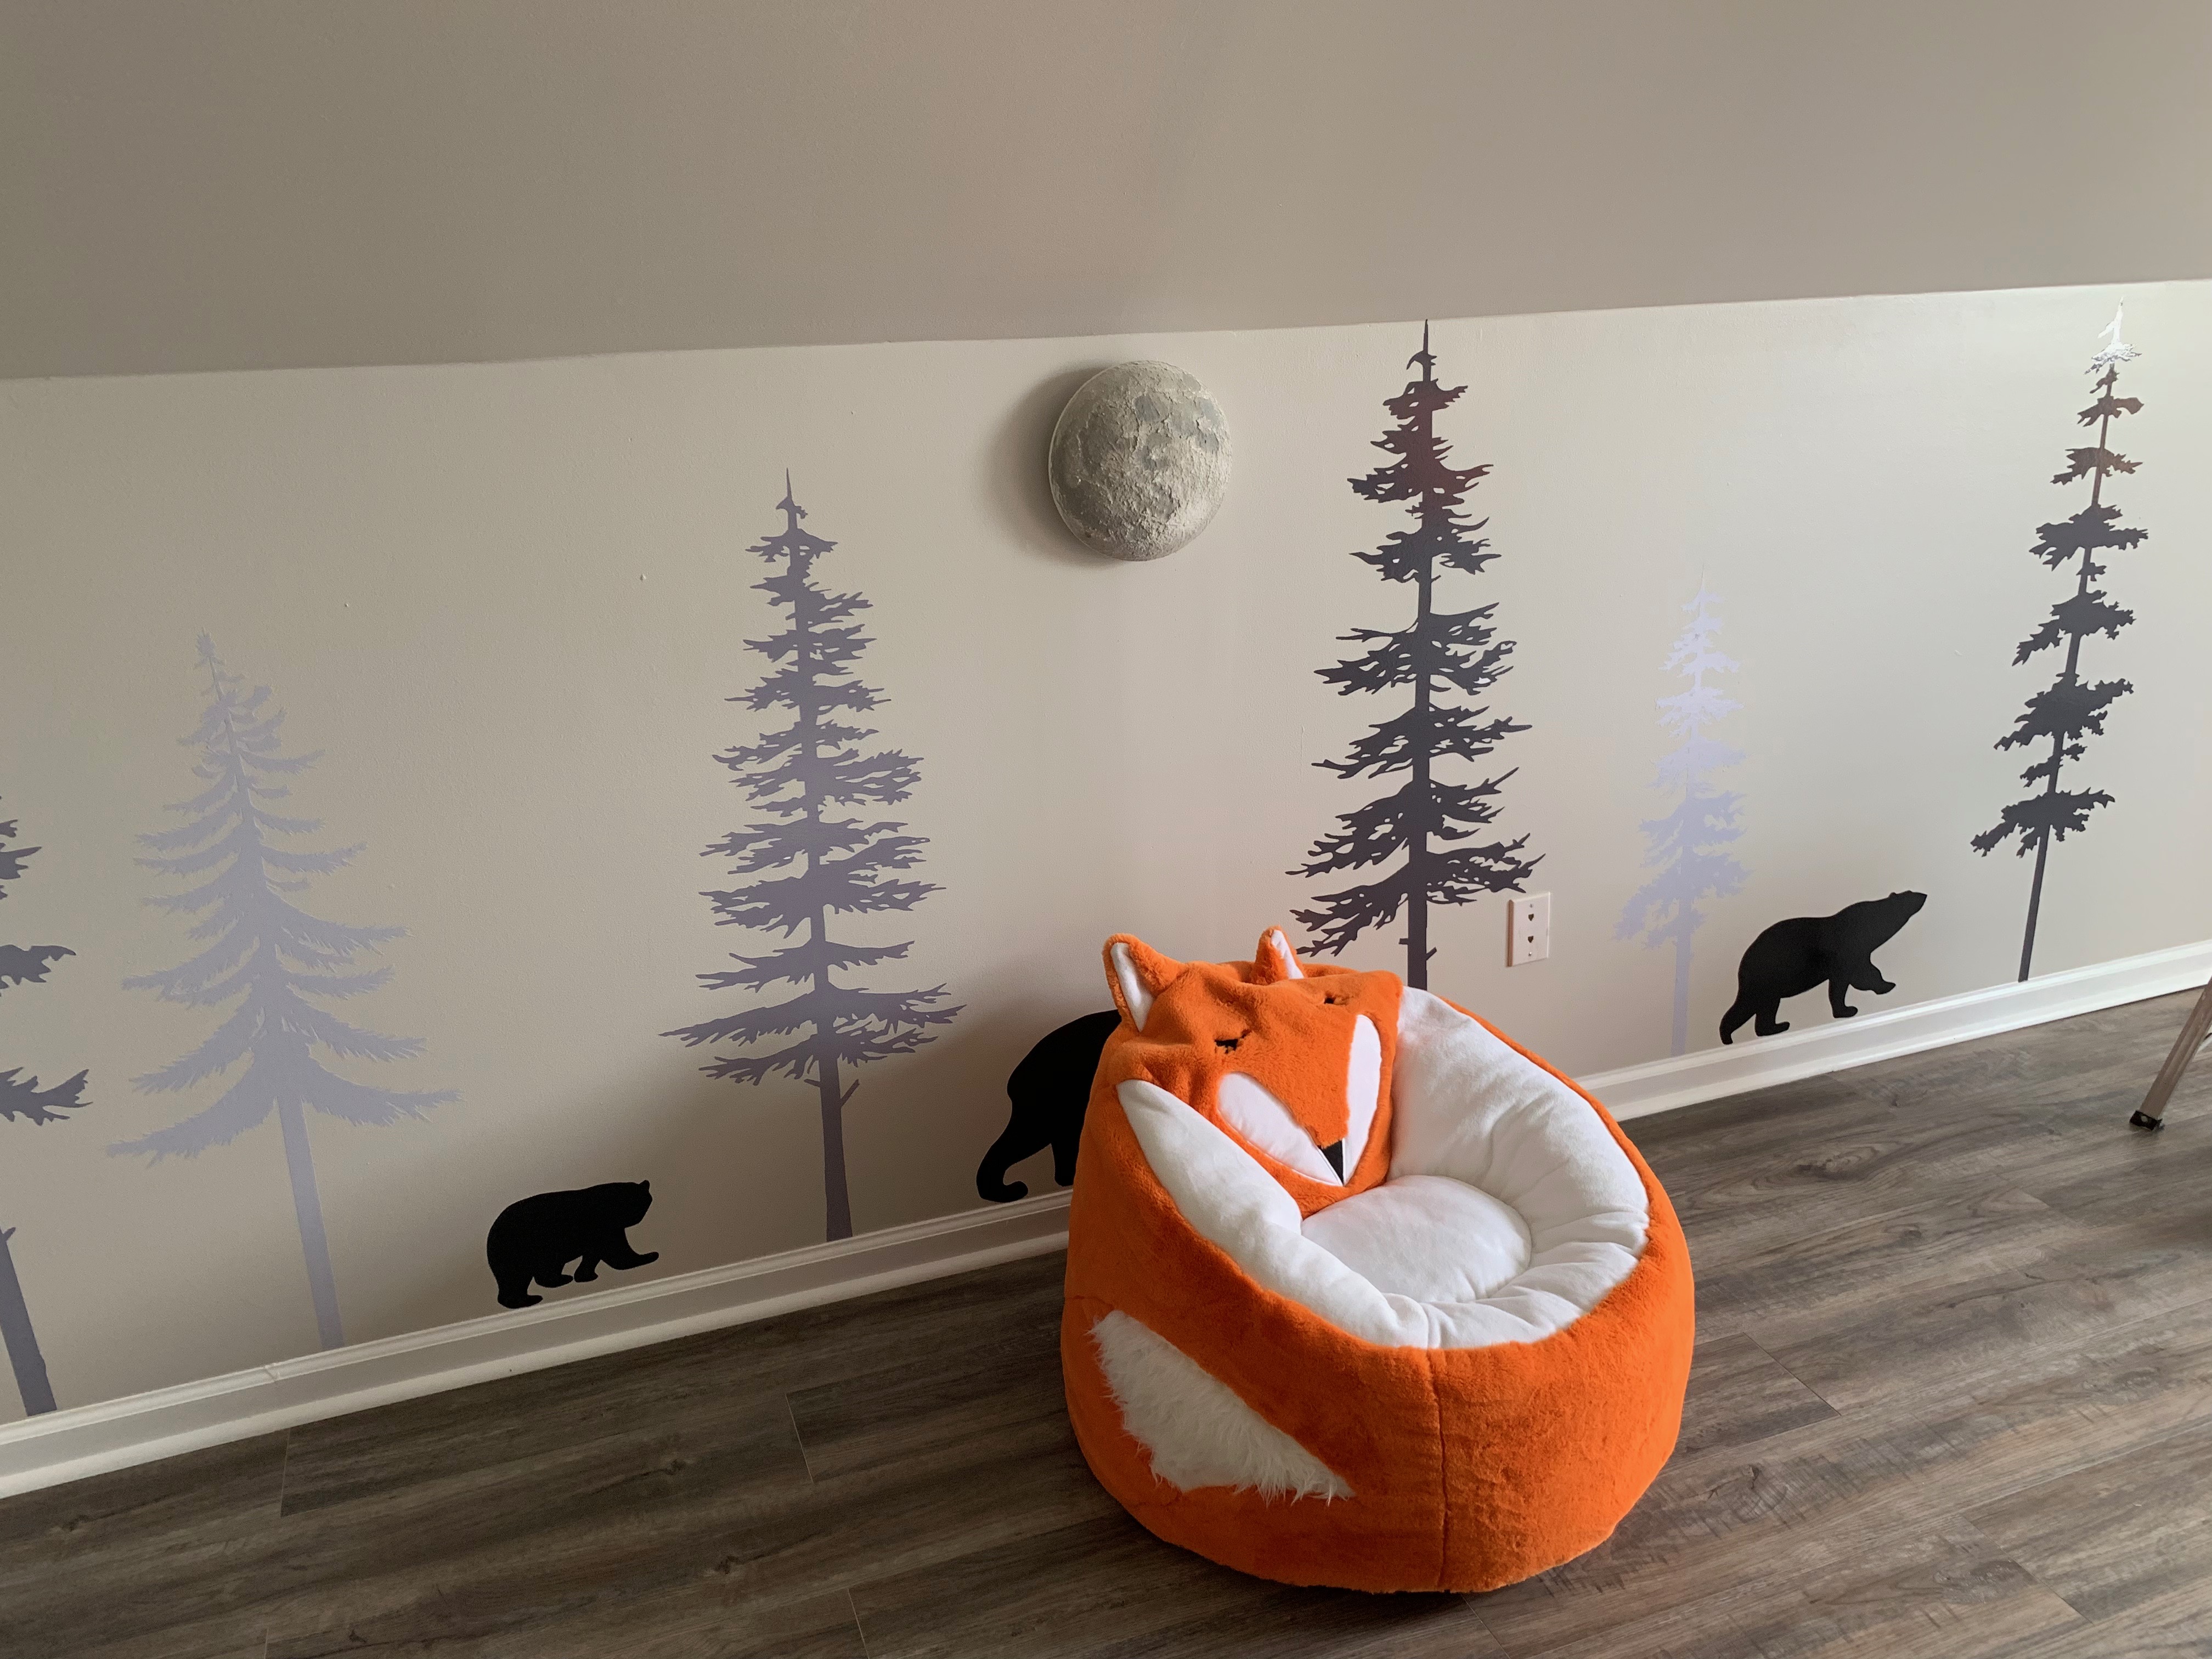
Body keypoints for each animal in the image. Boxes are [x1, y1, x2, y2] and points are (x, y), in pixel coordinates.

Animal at [487, 1180, 659, 1309]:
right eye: (630, 1203)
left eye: (645, 1202)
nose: (638, 1217)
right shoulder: (604, 1227)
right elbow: (617, 1252)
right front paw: (650, 1256)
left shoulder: (606, 1232)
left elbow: (595, 1256)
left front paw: (585, 1275)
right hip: (524, 1249)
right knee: (520, 1278)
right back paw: (536, 1295)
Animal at [1720, 891, 1927, 1045]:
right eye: (1910, 894)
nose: (1924, 894)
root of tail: (1743, 964)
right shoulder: (1848, 949)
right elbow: (1848, 980)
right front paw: (1848, 1009)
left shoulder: (1860, 952)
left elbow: (1864, 973)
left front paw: (1885, 984)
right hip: (1766, 975)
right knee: (1749, 1004)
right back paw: (1730, 1036)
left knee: (1765, 1007)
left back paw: (1776, 1027)